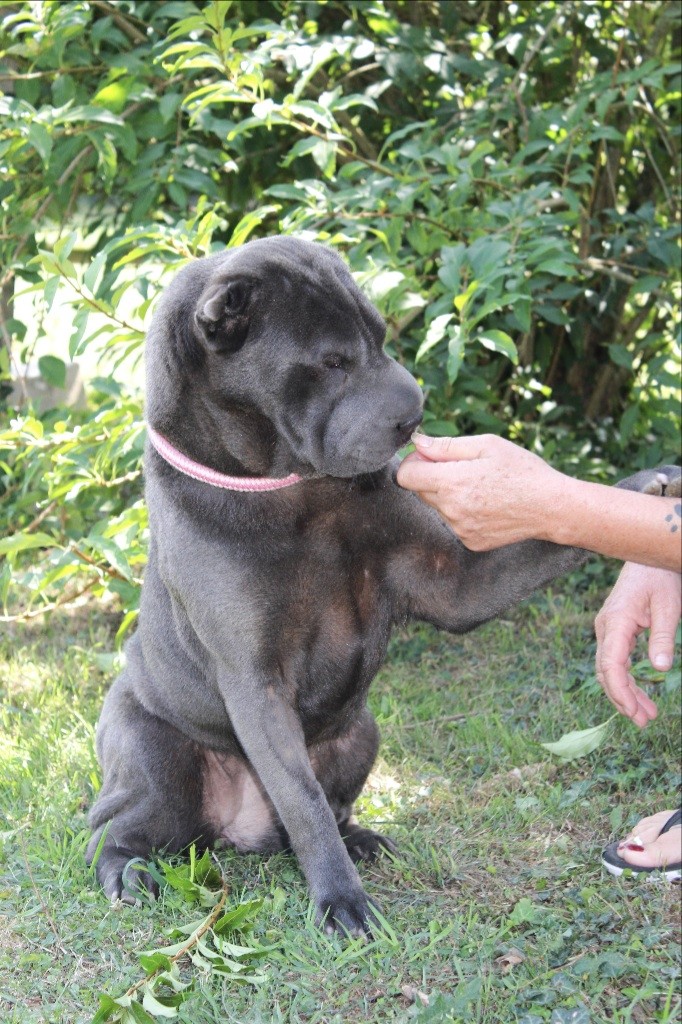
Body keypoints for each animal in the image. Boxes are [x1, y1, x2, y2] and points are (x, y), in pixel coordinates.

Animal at [86, 234, 675, 937]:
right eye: (332, 362)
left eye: (382, 337)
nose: (414, 416)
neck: (294, 491)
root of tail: (241, 833)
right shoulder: (255, 681)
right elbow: (303, 801)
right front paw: (341, 901)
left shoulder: (454, 580)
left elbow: (546, 536)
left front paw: (647, 485)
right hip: (155, 757)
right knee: (115, 827)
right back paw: (128, 872)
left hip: (361, 732)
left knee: (328, 806)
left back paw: (363, 839)